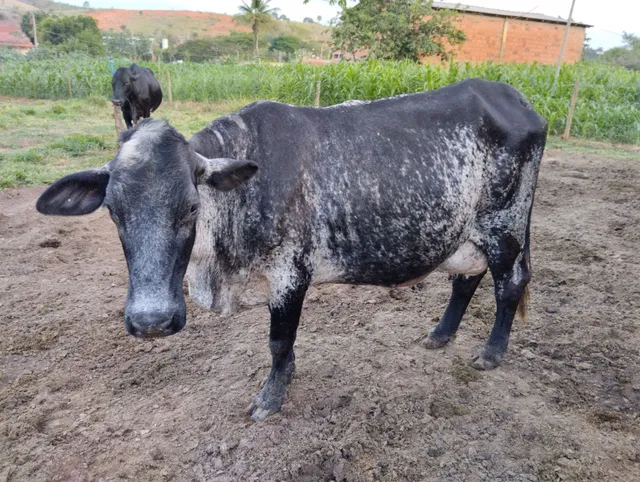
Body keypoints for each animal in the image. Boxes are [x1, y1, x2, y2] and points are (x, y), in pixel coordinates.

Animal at [36, 79, 547, 421]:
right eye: (113, 212)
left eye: (190, 207)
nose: (151, 321)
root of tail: (516, 97)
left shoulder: (290, 272)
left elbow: (279, 341)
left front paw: (270, 398)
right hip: (466, 235)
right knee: (466, 279)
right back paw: (440, 334)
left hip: (505, 227)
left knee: (510, 284)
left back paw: (490, 353)